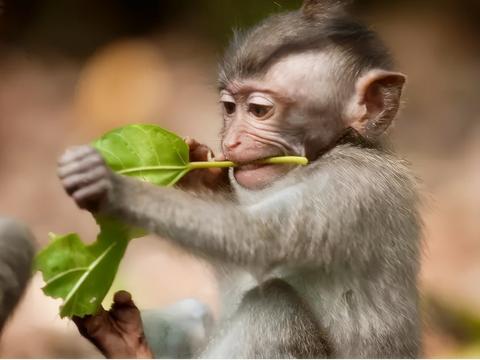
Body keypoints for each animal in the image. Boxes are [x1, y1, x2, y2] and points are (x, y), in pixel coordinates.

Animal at [58, 0, 422, 358]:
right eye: (230, 108)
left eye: (259, 110)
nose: (231, 142)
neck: (333, 148)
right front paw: (204, 179)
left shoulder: (349, 185)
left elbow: (258, 239)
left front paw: (114, 189)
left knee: (274, 305)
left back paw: (131, 348)